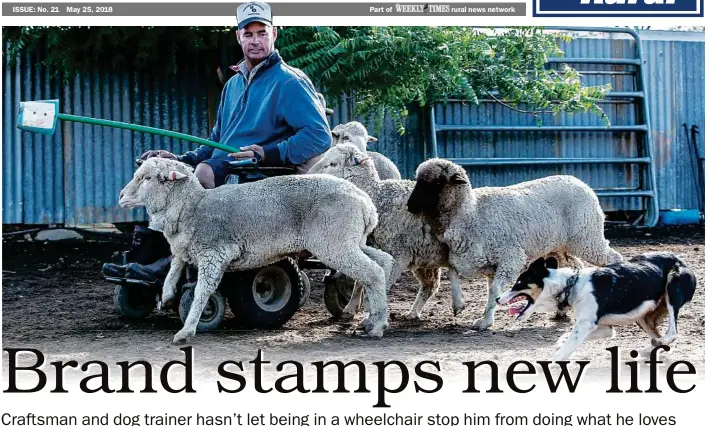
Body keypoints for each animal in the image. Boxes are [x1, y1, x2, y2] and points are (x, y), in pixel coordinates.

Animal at [117, 157, 392, 342]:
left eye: (147, 178)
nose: (120, 196)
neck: (191, 207)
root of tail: (366, 203)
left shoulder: (214, 254)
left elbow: (201, 292)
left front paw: (188, 328)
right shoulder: (189, 248)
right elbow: (175, 263)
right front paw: (166, 294)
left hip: (334, 242)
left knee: (372, 272)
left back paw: (377, 325)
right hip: (351, 240)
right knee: (383, 262)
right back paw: (372, 318)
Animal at [306, 144, 462, 320]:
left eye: (333, 163)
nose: (308, 175)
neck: (376, 196)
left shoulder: (398, 254)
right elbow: (362, 280)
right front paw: (350, 308)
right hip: (426, 255)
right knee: (431, 285)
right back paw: (414, 312)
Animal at [406, 158, 624, 332]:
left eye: (437, 182)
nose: (410, 206)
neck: (471, 213)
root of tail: (579, 181)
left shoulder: (510, 258)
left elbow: (494, 291)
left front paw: (485, 322)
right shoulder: (475, 260)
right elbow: (453, 272)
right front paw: (459, 305)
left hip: (588, 238)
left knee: (614, 258)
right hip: (560, 247)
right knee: (575, 267)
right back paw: (561, 311)